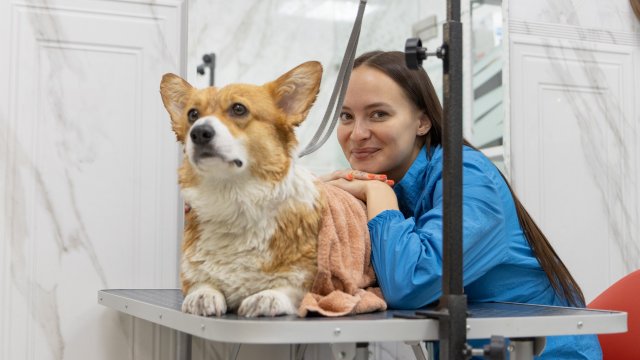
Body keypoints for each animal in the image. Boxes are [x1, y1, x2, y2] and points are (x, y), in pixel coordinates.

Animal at [160, 62, 332, 318]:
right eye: (192, 114)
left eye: (238, 109)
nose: (199, 132)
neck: (233, 199)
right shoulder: (192, 275)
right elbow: (201, 283)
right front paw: (203, 296)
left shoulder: (311, 279)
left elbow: (291, 287)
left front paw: (266, 297)